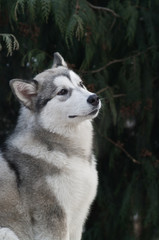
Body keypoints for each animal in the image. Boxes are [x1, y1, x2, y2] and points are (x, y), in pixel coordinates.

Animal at [0, 53, 100, 240]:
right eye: (62, 92)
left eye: (80, 84)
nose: (94, 98)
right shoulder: (53, 219)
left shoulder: (77, 221)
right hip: (7, 232)